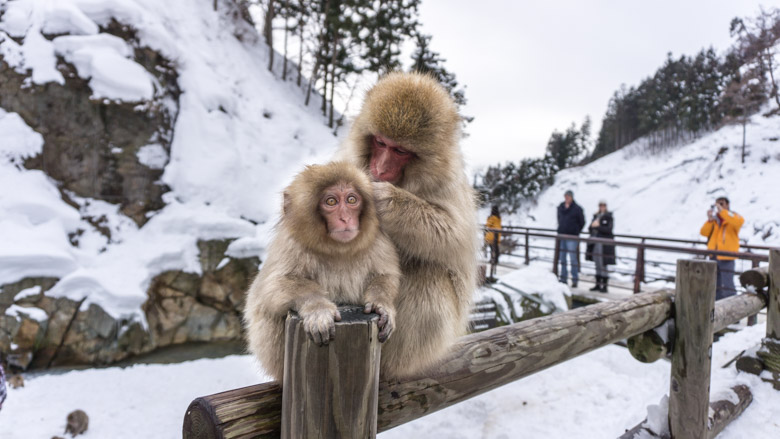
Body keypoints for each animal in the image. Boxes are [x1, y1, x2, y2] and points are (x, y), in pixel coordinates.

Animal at [244, 162, 402, 382]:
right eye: (331, 201)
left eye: (351, 199)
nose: (345, 218)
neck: (337, 249)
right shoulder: (291, 246)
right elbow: (272, 288)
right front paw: (318, 309)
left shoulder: (378, 241)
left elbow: (386, 275)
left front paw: (382, 305)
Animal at [338, 72, 478, 378]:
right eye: (380, 143)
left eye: (400, 150)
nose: (379, 168)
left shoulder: (448, 184)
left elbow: (454, 236)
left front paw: (385, 200)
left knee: (429, 273)